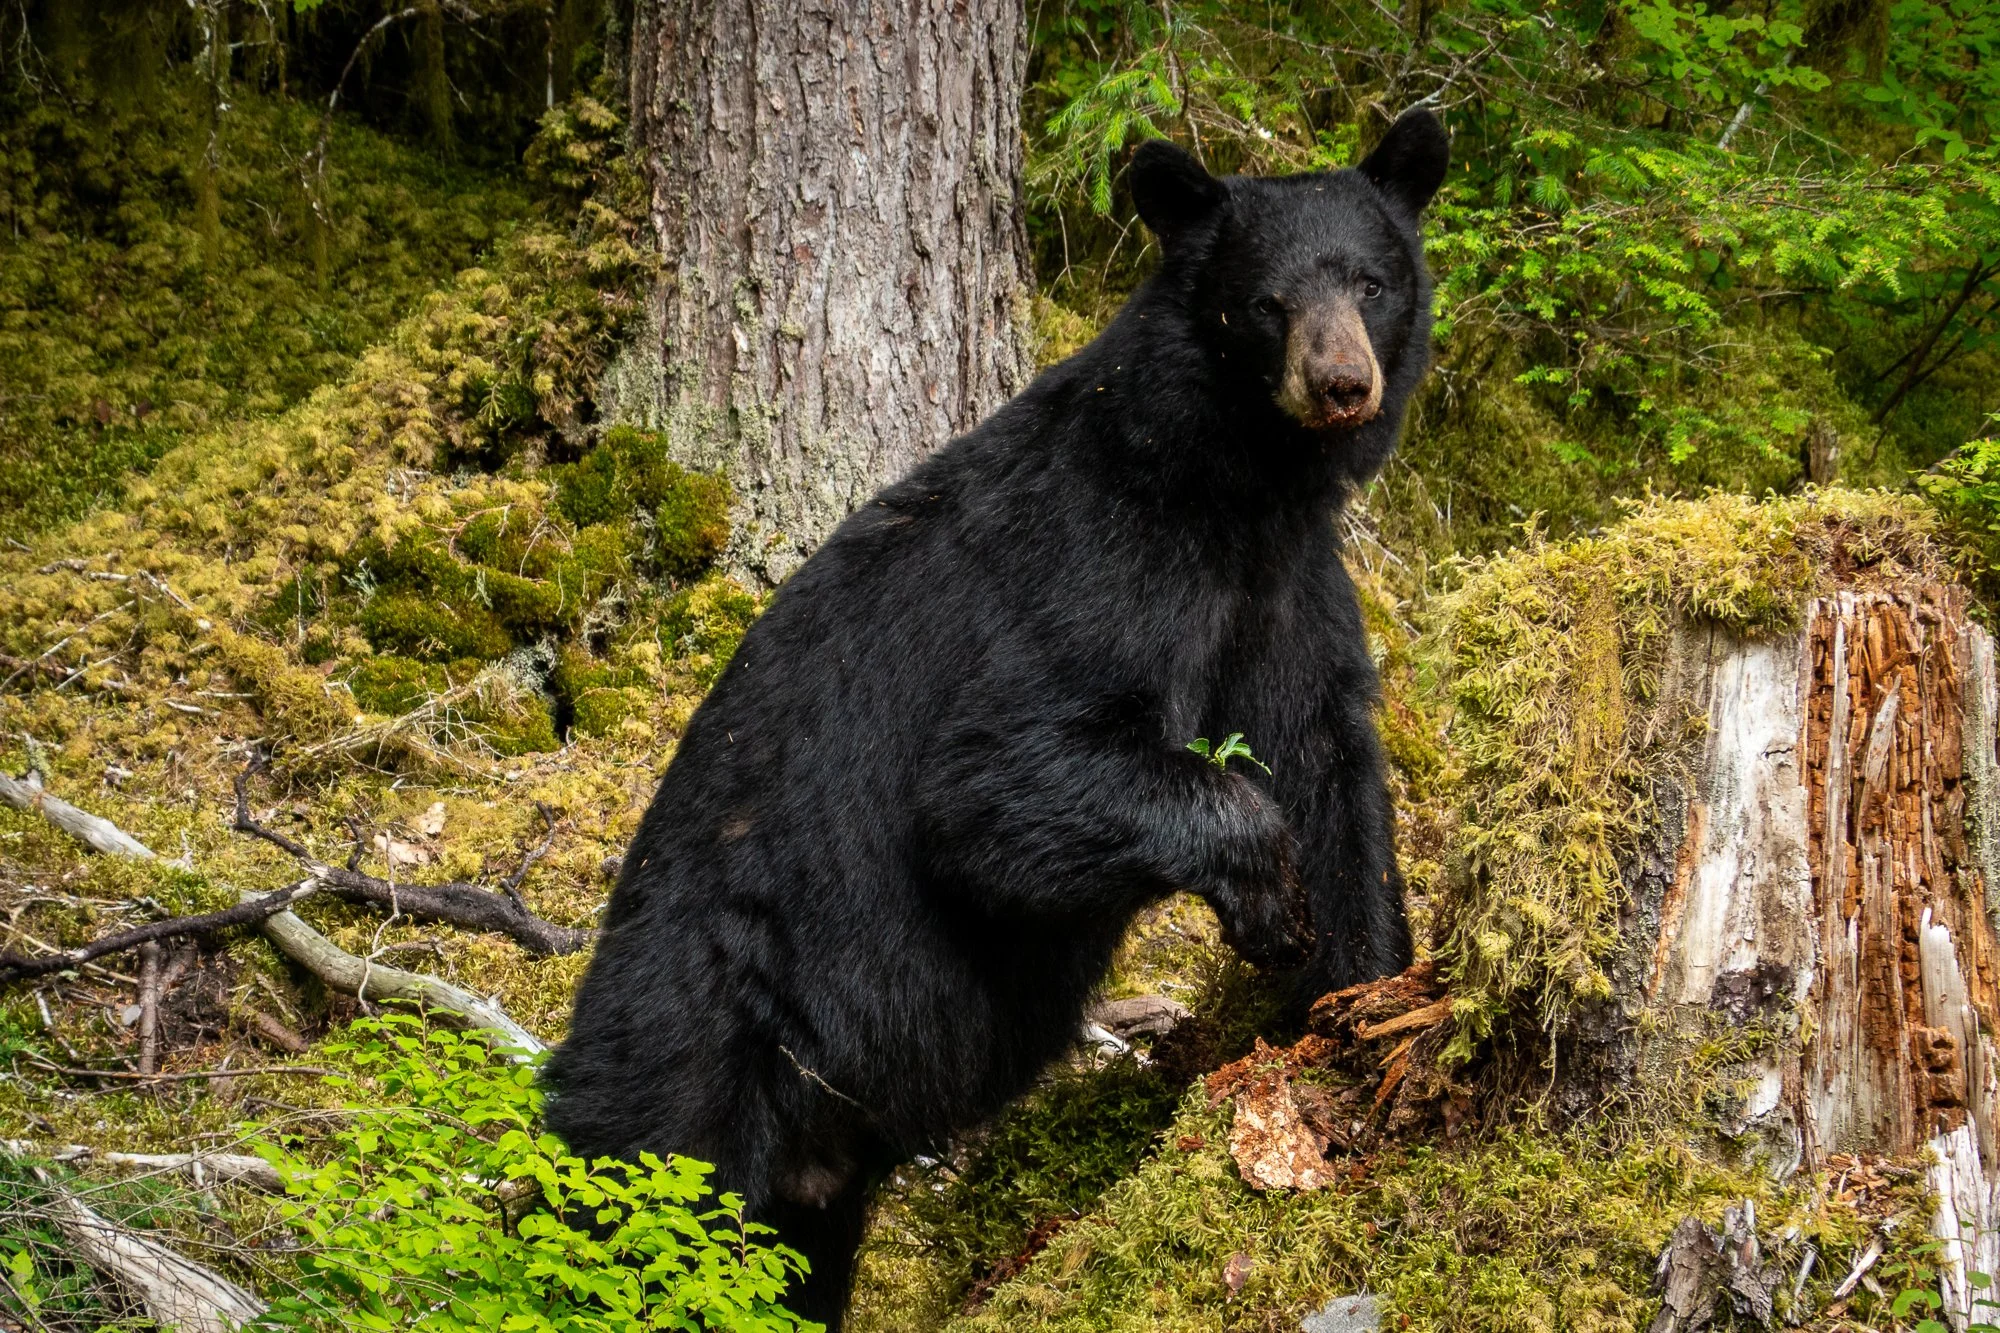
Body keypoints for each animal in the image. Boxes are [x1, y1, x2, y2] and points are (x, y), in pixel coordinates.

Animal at [545, 107, 1450, 1328]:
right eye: (1264, 300)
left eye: (1368, 279)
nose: (1340, 379)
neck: (1234, 486)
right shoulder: (1095, 559)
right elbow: (993, 787)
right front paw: (1265, 895)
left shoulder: (1285, 585)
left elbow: (1324, 759)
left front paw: (1357, 1000)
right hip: (690, 1050)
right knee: (628, 1205)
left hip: (811, 1183)